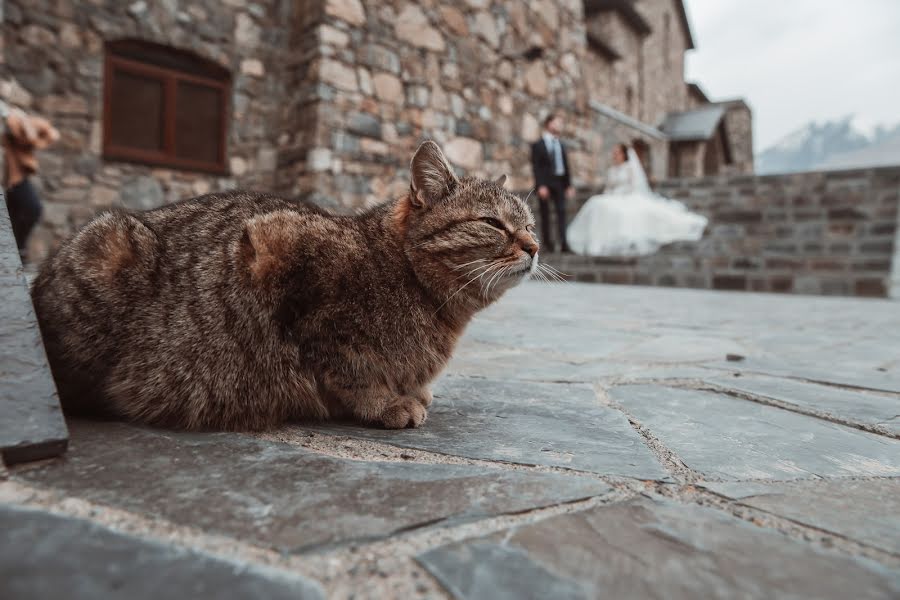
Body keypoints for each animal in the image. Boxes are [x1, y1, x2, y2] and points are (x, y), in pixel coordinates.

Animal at [33, 142, 540, 432]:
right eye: (493, 223)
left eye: (531, 225)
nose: (535, 246)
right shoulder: (275, 252)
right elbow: (347, 366)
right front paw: (385, 402)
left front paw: (410, 389)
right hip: (110, 245)